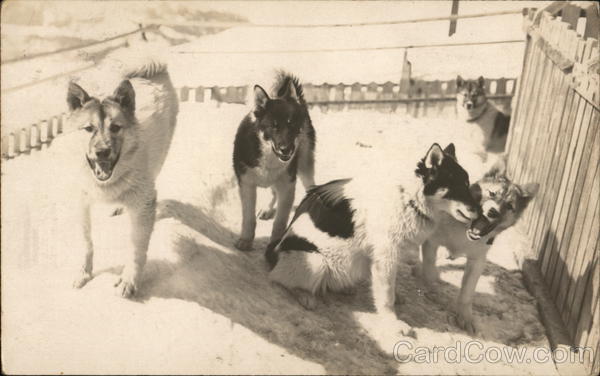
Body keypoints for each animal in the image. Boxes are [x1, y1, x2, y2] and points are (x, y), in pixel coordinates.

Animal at [68, 50, 178, 298]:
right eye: (88, 129)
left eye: (116, 128)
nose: (102, 152)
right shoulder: (81, 203)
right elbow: (86, 242)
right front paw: (84, 273)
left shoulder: (143, 204)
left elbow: (136, 249)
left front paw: (129, 280)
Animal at [232, 71, 316, 251]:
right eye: (274, 126)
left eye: (292, 125)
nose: (286, 149)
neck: (269, 155)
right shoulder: (246, 184)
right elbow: (248, 217)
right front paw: (246, 240)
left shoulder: (288, 186)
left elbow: (280, 222)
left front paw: (274, 244)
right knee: (272, 192)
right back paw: (267, 209)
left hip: (305, 164)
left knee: (310, 186)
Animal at [266, 144, 478, 334]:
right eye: (457, 186)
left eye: (468, 185)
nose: (479, 214)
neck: (409, 199)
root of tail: (274, 252)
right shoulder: (386, 256)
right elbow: (386, 296)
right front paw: (392, 322)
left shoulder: (384, 257)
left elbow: (388, 286)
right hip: (316, 261)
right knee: (279, 279)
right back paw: (305, 295)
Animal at [418, 157, 540, 334]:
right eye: (492, 193)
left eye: (509, 206)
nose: (493, 212)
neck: (463, 231)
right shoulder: (431, 242)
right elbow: (428, 268)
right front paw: (431, 286)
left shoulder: (478, 261)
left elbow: (467, 292)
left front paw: (465, 317)